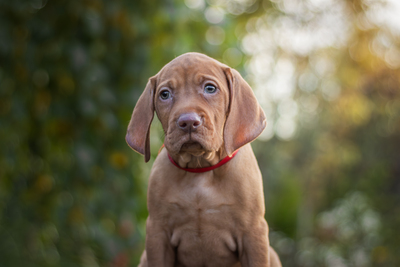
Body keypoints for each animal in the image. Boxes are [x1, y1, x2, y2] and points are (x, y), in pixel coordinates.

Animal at [126, 52, 280, 267]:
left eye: (210, 88)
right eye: (164, 94)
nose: (188, 121)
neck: (200, 169)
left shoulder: (253, 232)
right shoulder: (157, 233)